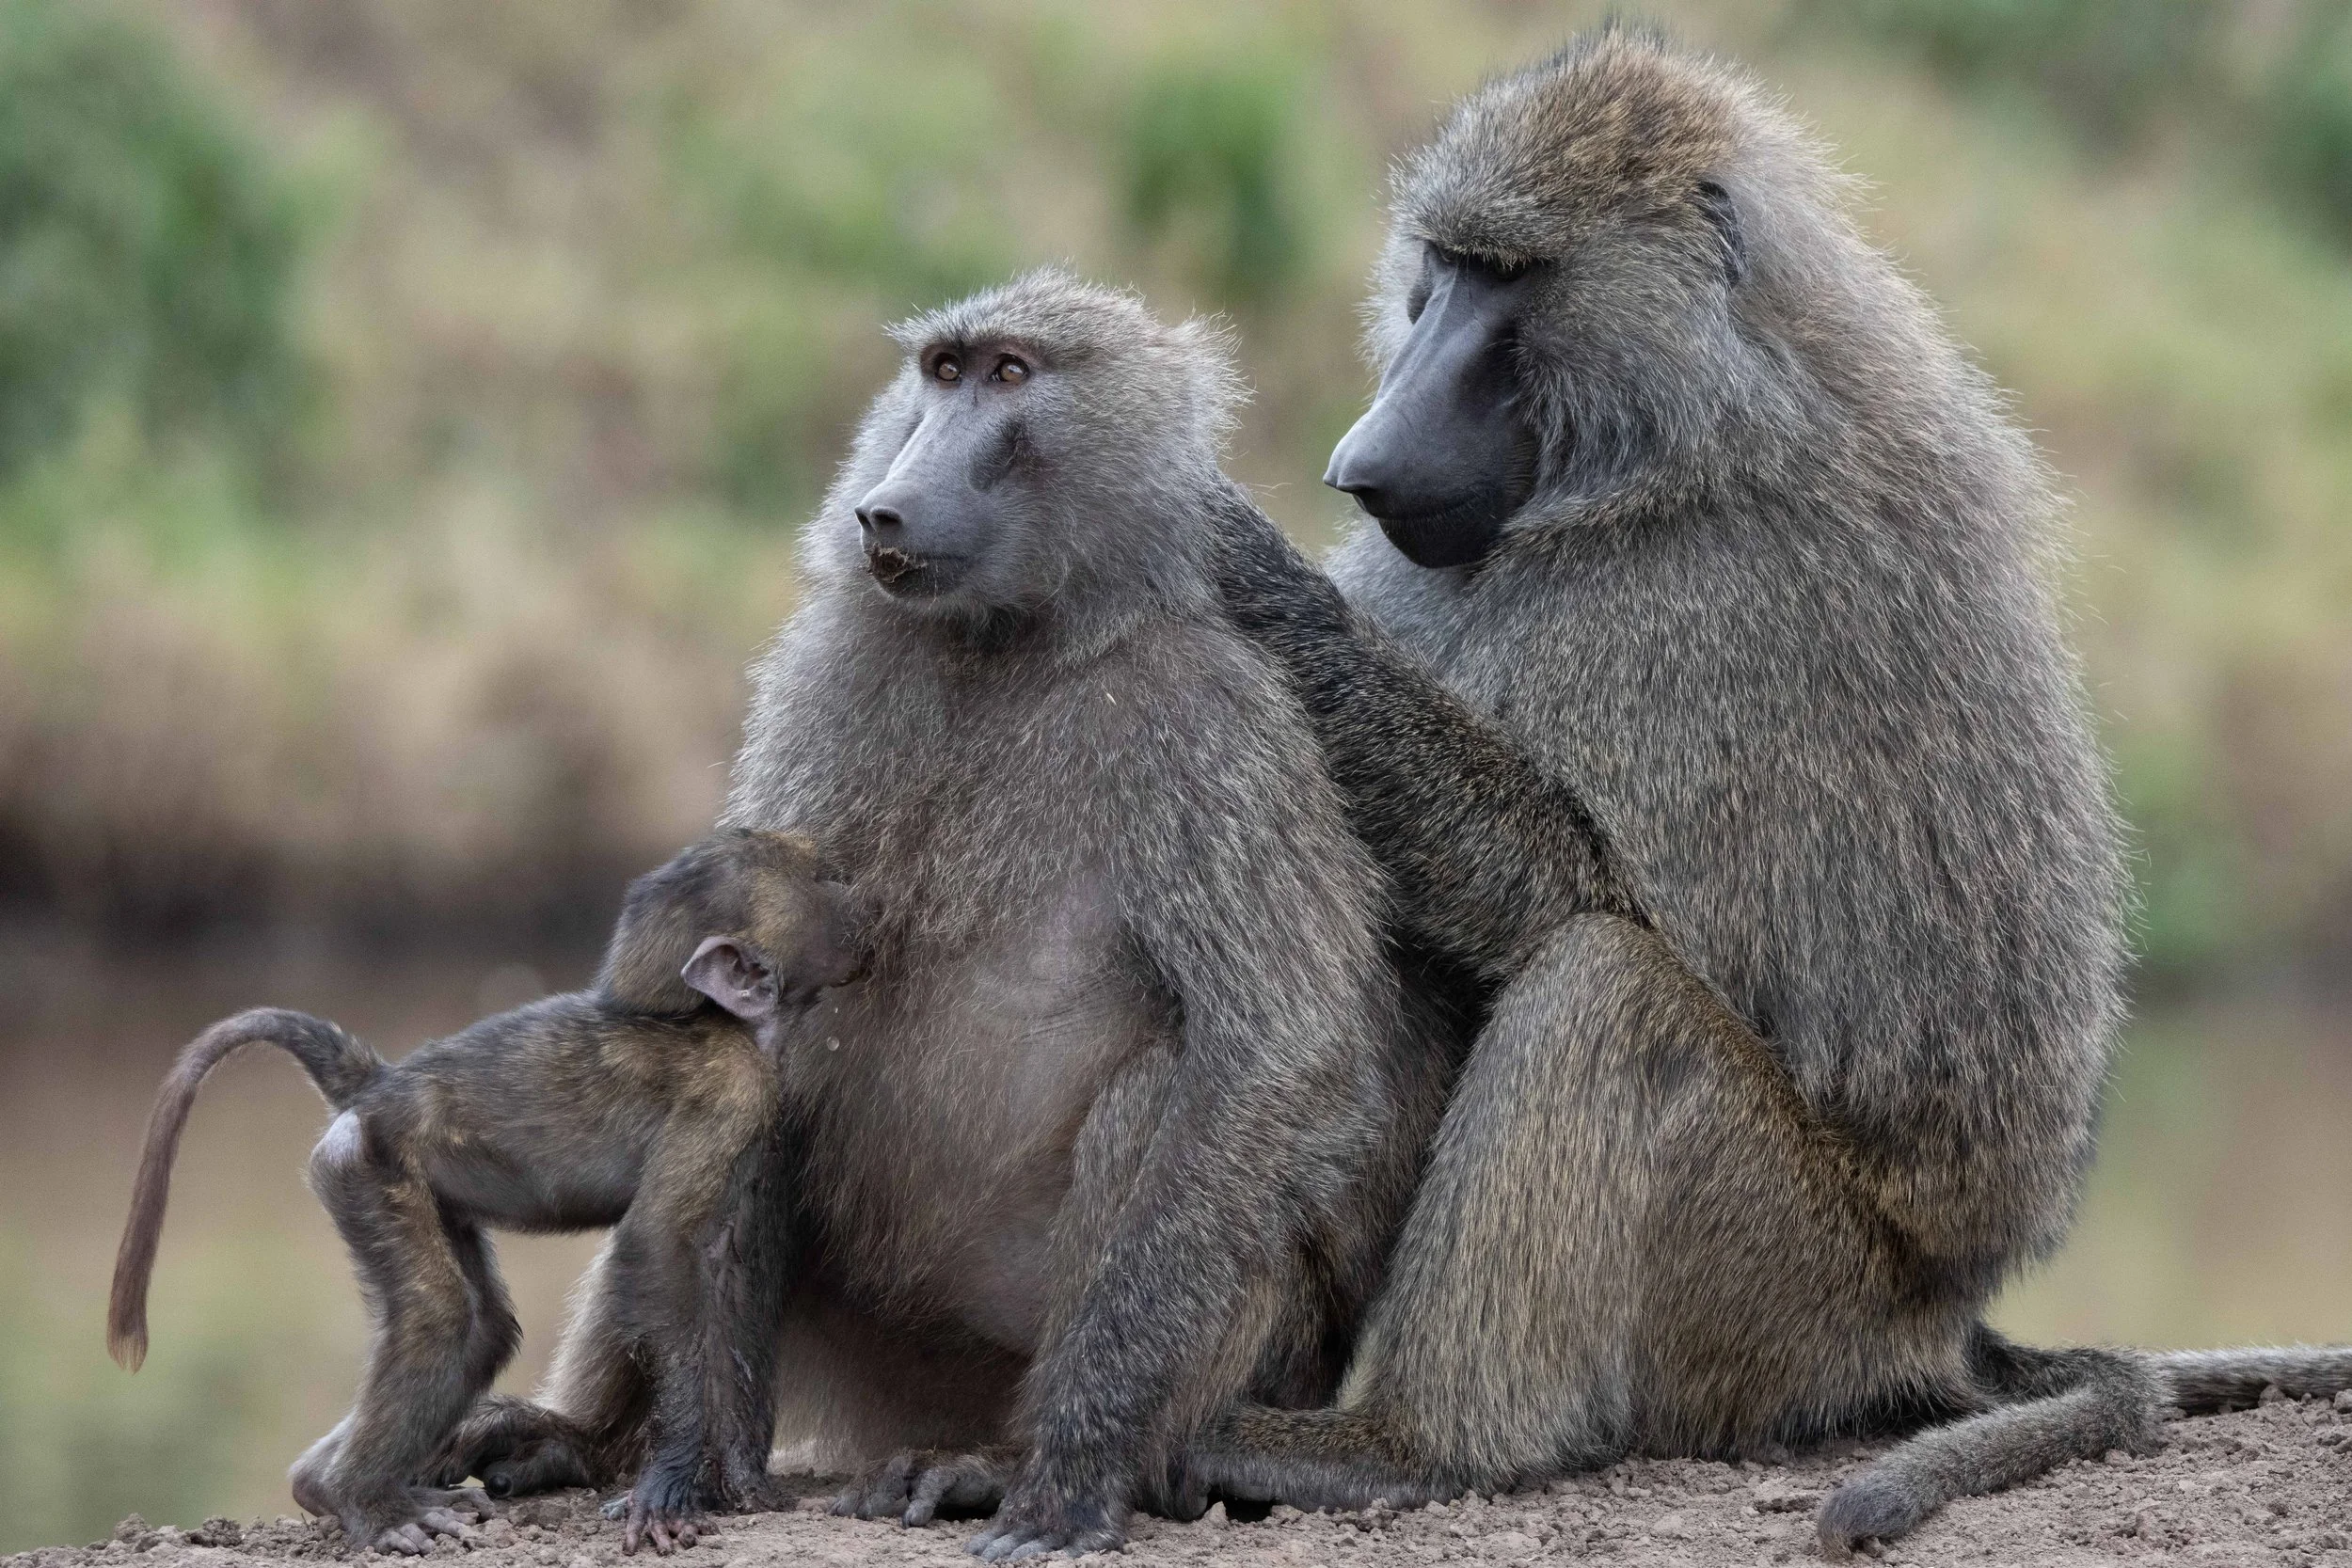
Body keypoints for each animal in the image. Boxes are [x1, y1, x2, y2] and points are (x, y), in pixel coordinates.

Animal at [107, 829, 867, 1558]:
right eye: (820, 881)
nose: (865, 903)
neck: (704, 1018)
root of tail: (377, 1085)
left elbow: (712, 1264)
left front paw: (725, 1480)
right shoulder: (729, 1092)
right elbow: (659, 1252)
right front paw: (669, 1483)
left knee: (484, 1330)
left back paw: (324, 1485)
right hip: (363, 1167)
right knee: (443, 1317)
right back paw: (366, 1504)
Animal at [428, 269, 1442, 1560]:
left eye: (1010, 374)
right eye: (940, 373)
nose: (885, 509)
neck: (1013, 641)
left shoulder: (1215, 719)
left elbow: (1277, 1051)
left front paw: (1072, 1470)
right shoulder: (835, 667)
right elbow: (730, 998)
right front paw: (693, 1461)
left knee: (1168, 1100)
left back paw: (998, 1462)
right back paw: (598, 1433)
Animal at [1172, 27, 2352, 1557]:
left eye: (1511, 278)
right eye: (1440, 266)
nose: (1362, 457)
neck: (1671, 441)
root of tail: (1936, 1313)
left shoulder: (1707, 616)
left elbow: (1587, 902)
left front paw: (1245, 572)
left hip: (1784, 1276)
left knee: (1606, 990)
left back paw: (1402, 1448)